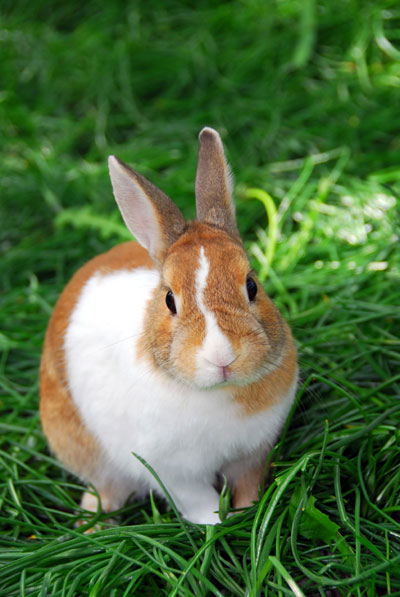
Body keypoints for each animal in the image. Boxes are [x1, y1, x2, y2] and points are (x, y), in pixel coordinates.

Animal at [40, 128, 296, 524]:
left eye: (252, 286)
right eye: (169, 300)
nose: (222, 357)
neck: (217, 392)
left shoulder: (252, 454)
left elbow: (247, 485)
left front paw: (247, 512)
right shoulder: (171, 473)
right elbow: (197, 502)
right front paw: (217, 524)